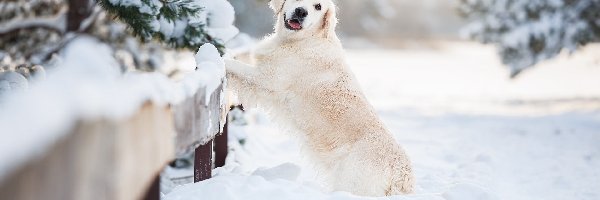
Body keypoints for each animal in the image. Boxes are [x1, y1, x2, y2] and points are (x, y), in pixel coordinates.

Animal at [225, 0, 412, 195]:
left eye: (318, 6)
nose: (301, 12)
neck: (303, 40)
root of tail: (402, 174)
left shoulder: (267, 79)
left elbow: (232, 65)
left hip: (352, 182)